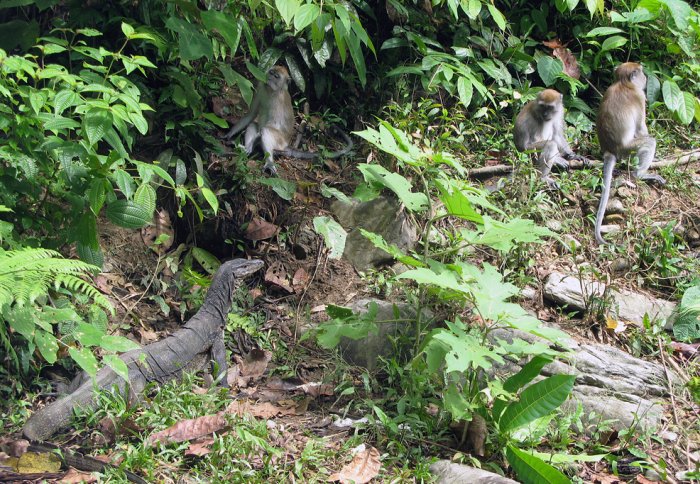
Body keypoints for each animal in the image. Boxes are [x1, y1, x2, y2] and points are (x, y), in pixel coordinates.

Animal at [224, 65, 352, 176]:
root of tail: (286, 145)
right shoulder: (261, 88)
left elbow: (272, 125)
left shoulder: (278, 101)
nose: (270, 77)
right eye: (271, 72)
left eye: (276, 76)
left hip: (279, 143)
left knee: (265, 130)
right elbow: (251, 115)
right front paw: (229, 134)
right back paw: (247, 149)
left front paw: (254, 142)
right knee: (253, 125)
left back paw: (268, 161)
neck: (271, 90)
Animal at [596, 63, 668, 246]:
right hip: (627, 148)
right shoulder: (640, 97)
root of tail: (610, 149)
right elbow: (642, 129)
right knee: (649, 142)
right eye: (641, 71)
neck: (623, 83)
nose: (646, 77)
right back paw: (641, 174)